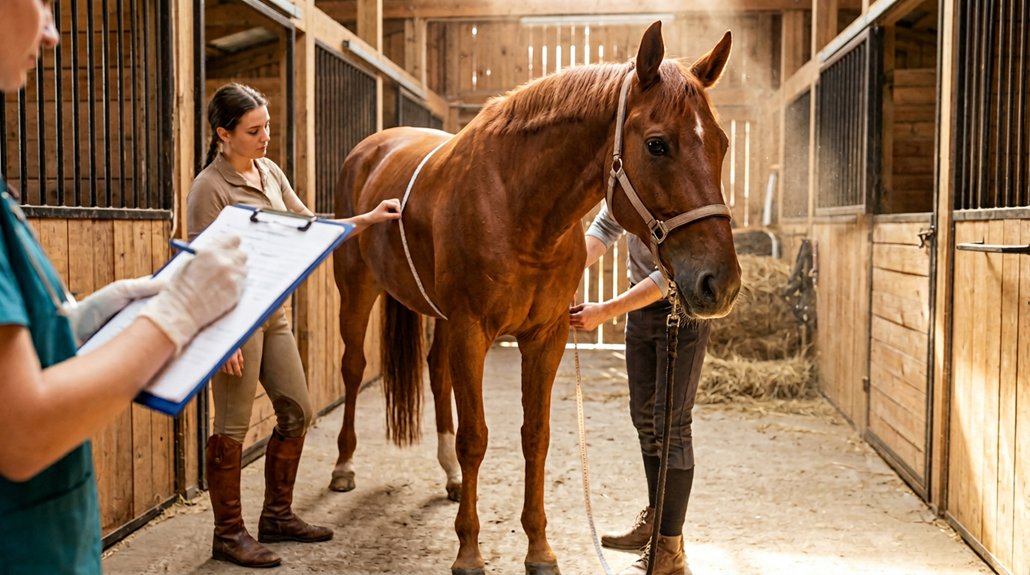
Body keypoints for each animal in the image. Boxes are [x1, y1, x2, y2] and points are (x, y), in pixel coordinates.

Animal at [329, 21, 741, 575]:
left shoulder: (543, 337)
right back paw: (344, 464)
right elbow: (476, 437)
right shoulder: (471, 331)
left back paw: (449, 477)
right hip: (357, 291)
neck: (514, 203)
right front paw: (469, 551)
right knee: (353, 369)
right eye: (658, 145)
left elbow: (535, 437)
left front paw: (539, 548)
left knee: (436, 374)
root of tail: (370, 150)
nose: (721, 282)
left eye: (721, 143)